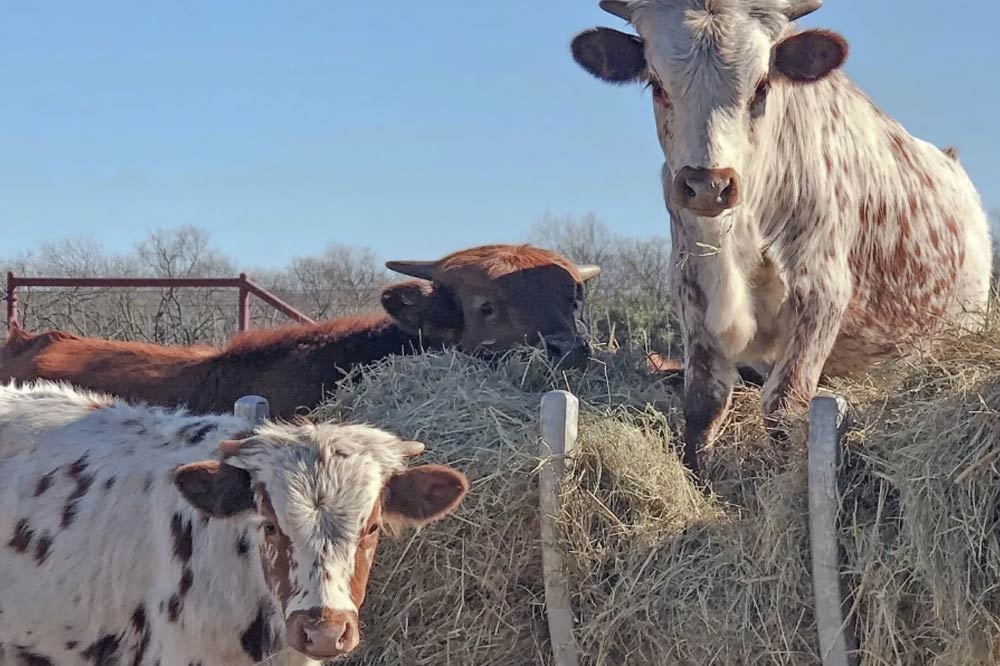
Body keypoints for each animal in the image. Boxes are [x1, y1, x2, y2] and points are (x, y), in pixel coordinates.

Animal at [572, 0, 992, 470]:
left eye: (761, 86)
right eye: (657, 84)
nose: (708, 185)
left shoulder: (821, 294)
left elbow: (784, 407)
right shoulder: (691, 294)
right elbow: (702, 404)